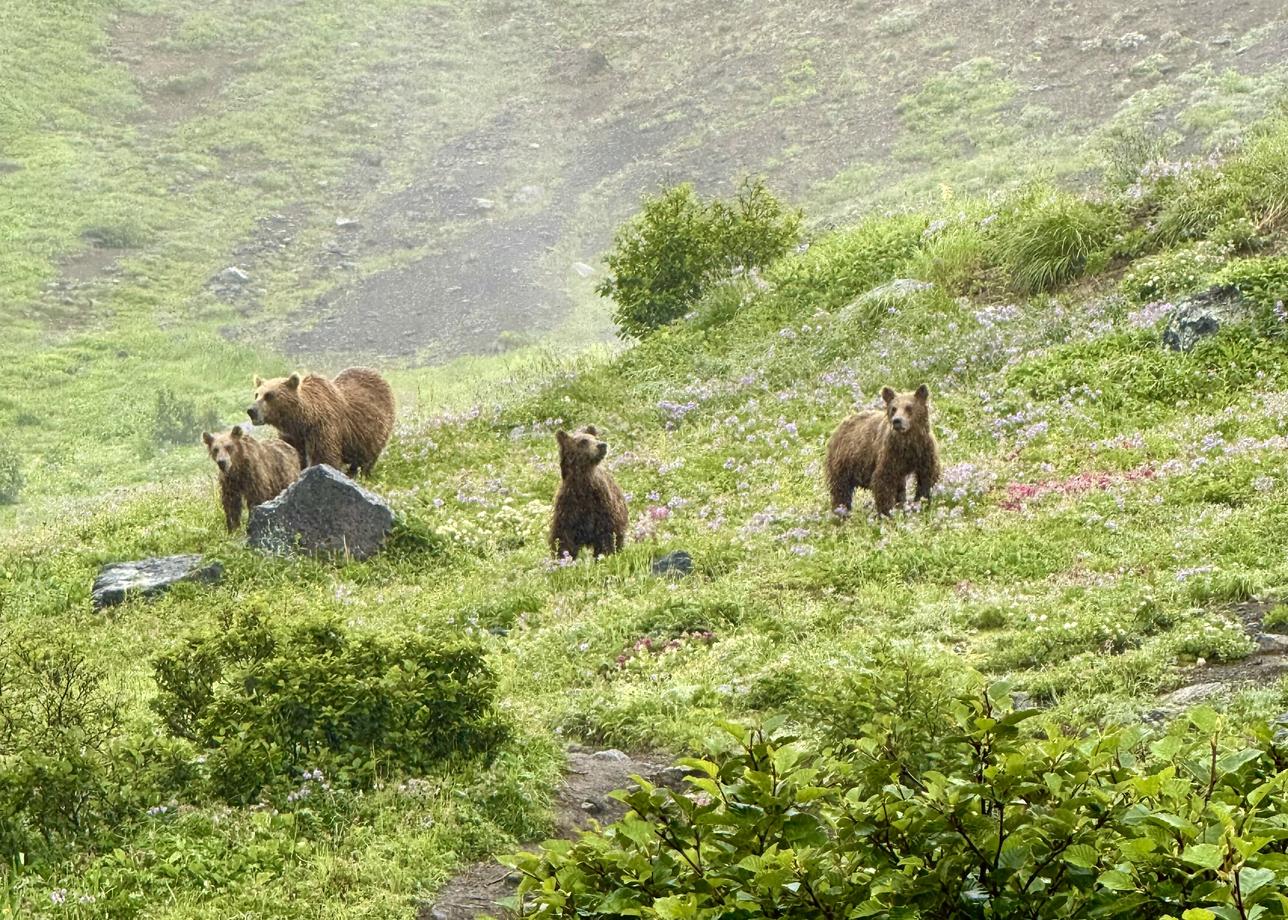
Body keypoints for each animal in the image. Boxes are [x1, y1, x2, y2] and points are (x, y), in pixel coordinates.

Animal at [246, 365, 394, 476]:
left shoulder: (322, 427)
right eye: (256, 394)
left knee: (368, 457)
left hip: (376, 429)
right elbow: (292, 453)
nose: (251, 410)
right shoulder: (292, 436)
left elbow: (323, 457)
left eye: (269, 395)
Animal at [551, 425, 631, 559]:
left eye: (596, 438)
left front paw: (605, 555)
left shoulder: (602, 506)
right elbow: (563, 538)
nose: (602, 445)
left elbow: (607, 533)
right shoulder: (568, 509)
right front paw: (563, 556)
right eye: (583, 441)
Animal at [829, 381, 942, 515]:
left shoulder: (924, 451)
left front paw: (921, 503)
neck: (908, 442)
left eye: (909, 407)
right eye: (893, 408)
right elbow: (884, 480)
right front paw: (887, 512)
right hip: (844, 460)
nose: (897, 421)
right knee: (841, 488)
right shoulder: (891, 453)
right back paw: (841, 511)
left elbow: (927, 477)